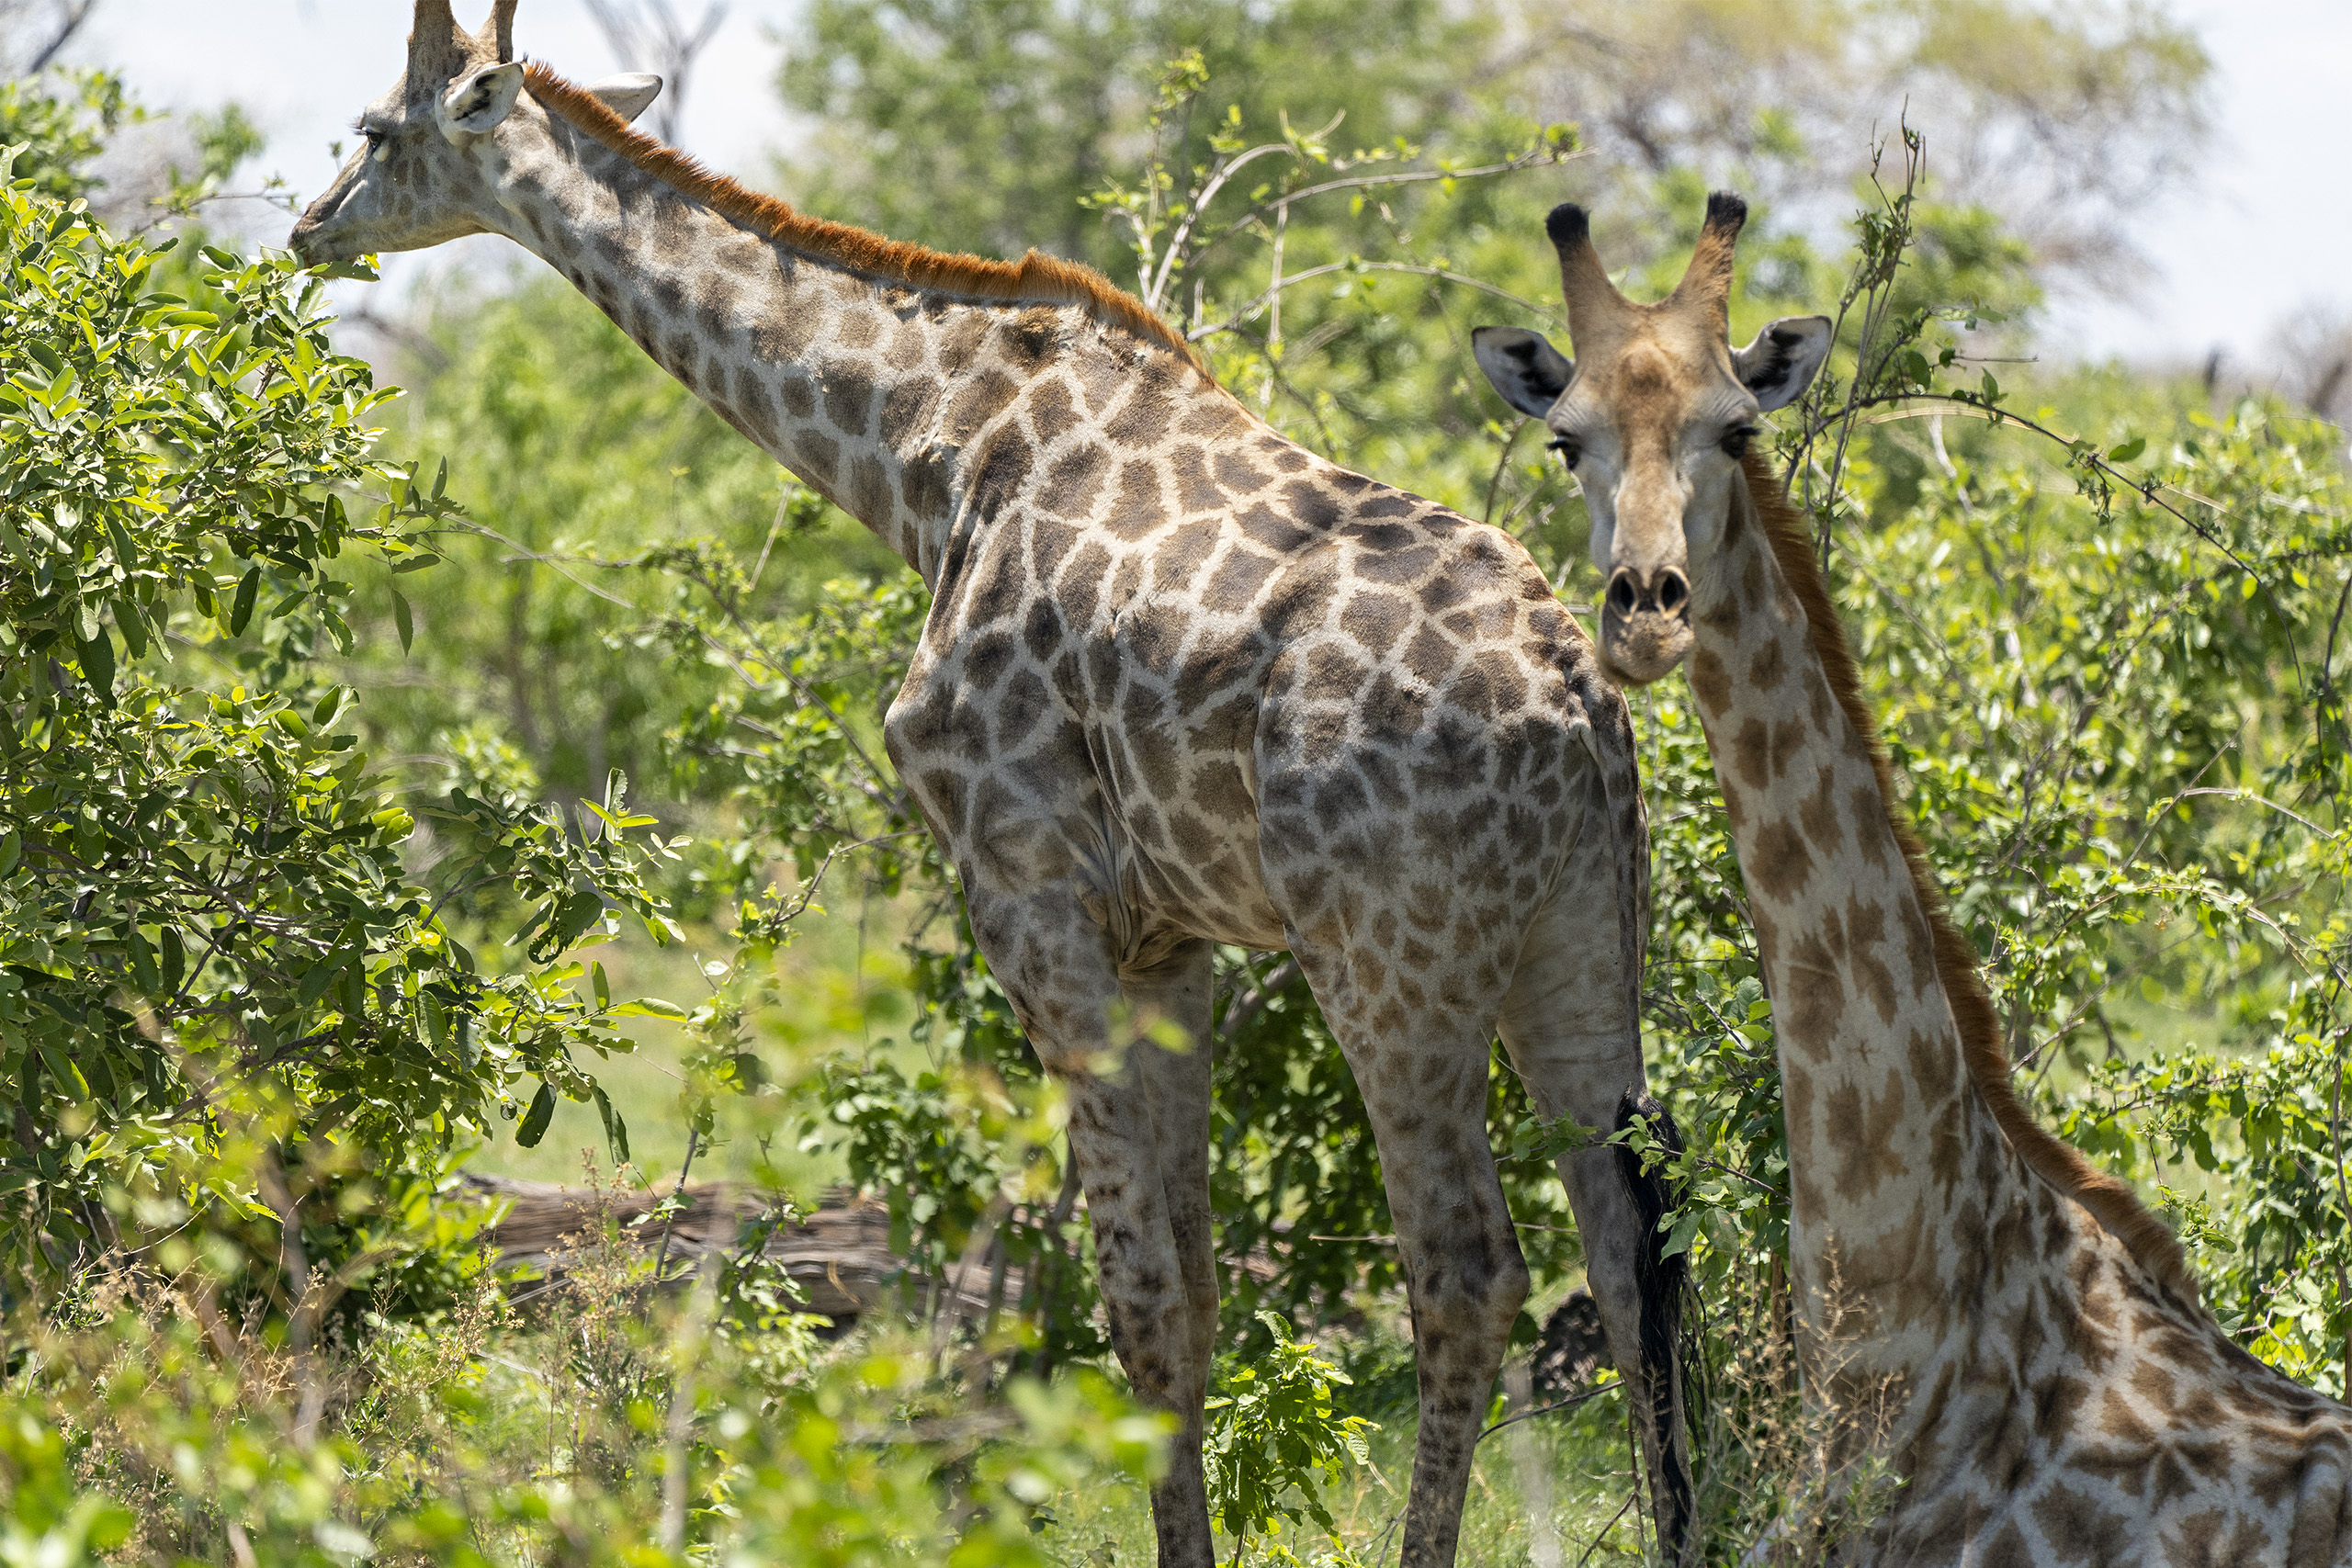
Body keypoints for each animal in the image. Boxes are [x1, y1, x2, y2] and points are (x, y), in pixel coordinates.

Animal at [289, 7, 1697, 1562]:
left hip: (1392, 958)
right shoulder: (1170, 936)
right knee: (1630, 1247)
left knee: (1468, 1267)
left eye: (375, 130)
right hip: (1584, 938)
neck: (927, 451)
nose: (306, 227)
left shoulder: (1027, 887)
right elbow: (1198, 1285)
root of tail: (1580, 704)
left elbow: (1139, 1303)